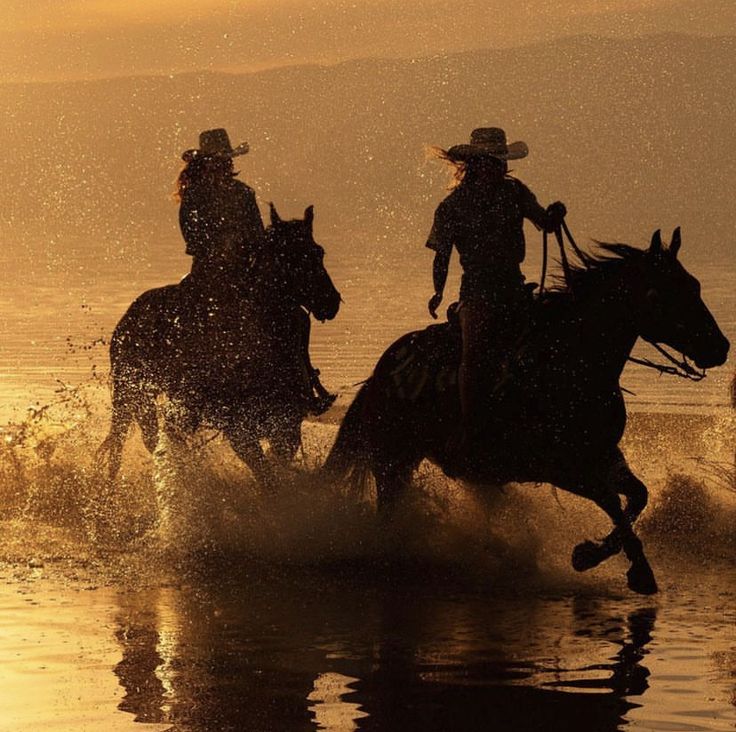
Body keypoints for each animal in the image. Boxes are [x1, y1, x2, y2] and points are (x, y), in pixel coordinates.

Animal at [99, 204, 340, 486]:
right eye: (289, 257)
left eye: (318, 252)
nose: (330, 301)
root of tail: (130, 315)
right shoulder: (238, 429)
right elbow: (265, 473)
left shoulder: (287, 423)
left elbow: (275, 466)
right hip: (132, 393)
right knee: (131, 440)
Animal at [328, 230, 732, 596]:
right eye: (667, 292)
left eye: (694, 285)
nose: (721, 347)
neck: (570, 361)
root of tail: (383, 370)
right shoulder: (561, 467)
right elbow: (613, 504)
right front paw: (611, 563)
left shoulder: (603, 455)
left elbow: (637, 497)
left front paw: (607, 558)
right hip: (393, 460)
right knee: (387, 513)